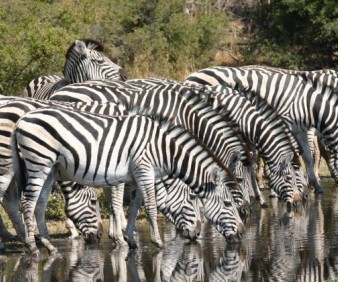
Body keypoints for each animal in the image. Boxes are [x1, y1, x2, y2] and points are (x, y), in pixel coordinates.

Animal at [11, 106, 244, 256]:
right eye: (228, 203)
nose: (242, 233)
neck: (166, 150)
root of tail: (21, 120)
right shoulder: (145, 171)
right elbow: (150, 207)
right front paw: (158, 243)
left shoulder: (138, 176)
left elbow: (134, 207)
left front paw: (131, 241)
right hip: (38, 161)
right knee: (27, 203)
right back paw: (32, 247)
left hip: (50, 169)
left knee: (39, 204)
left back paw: (49, 247)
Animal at [185, 66, 338, 194]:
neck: (306, 101)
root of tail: (190, 76)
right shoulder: (289, 123)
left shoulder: (301, 129)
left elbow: (307, 155)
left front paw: (315, 185)